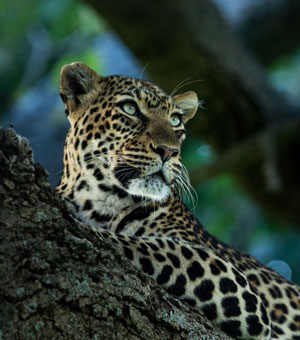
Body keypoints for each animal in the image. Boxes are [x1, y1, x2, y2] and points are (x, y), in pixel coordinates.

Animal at [56, 61, 300, 340]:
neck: (96, 201)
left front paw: (79, 227)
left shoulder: (240, 290)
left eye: (175, 120)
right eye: (130, 108)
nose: (169, 151)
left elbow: (136, 243)